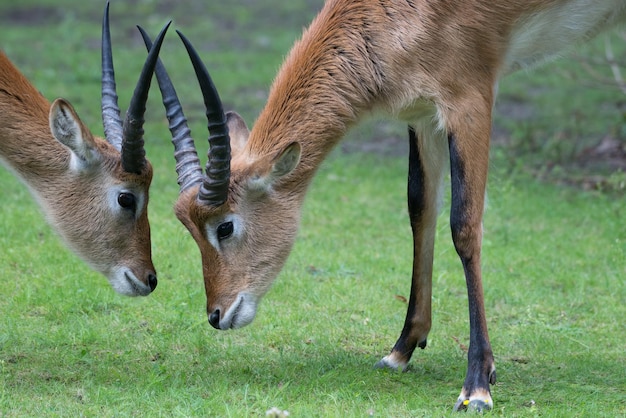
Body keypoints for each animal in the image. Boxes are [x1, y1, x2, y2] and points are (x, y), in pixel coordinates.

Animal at [141, 0, 624, 412]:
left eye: (225, 226)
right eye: (188, 225)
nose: (216, 315)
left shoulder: (470, 98)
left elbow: (464, 225)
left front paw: (477, 386)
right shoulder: (422, 113)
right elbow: (420, 209)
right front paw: (401, 350)